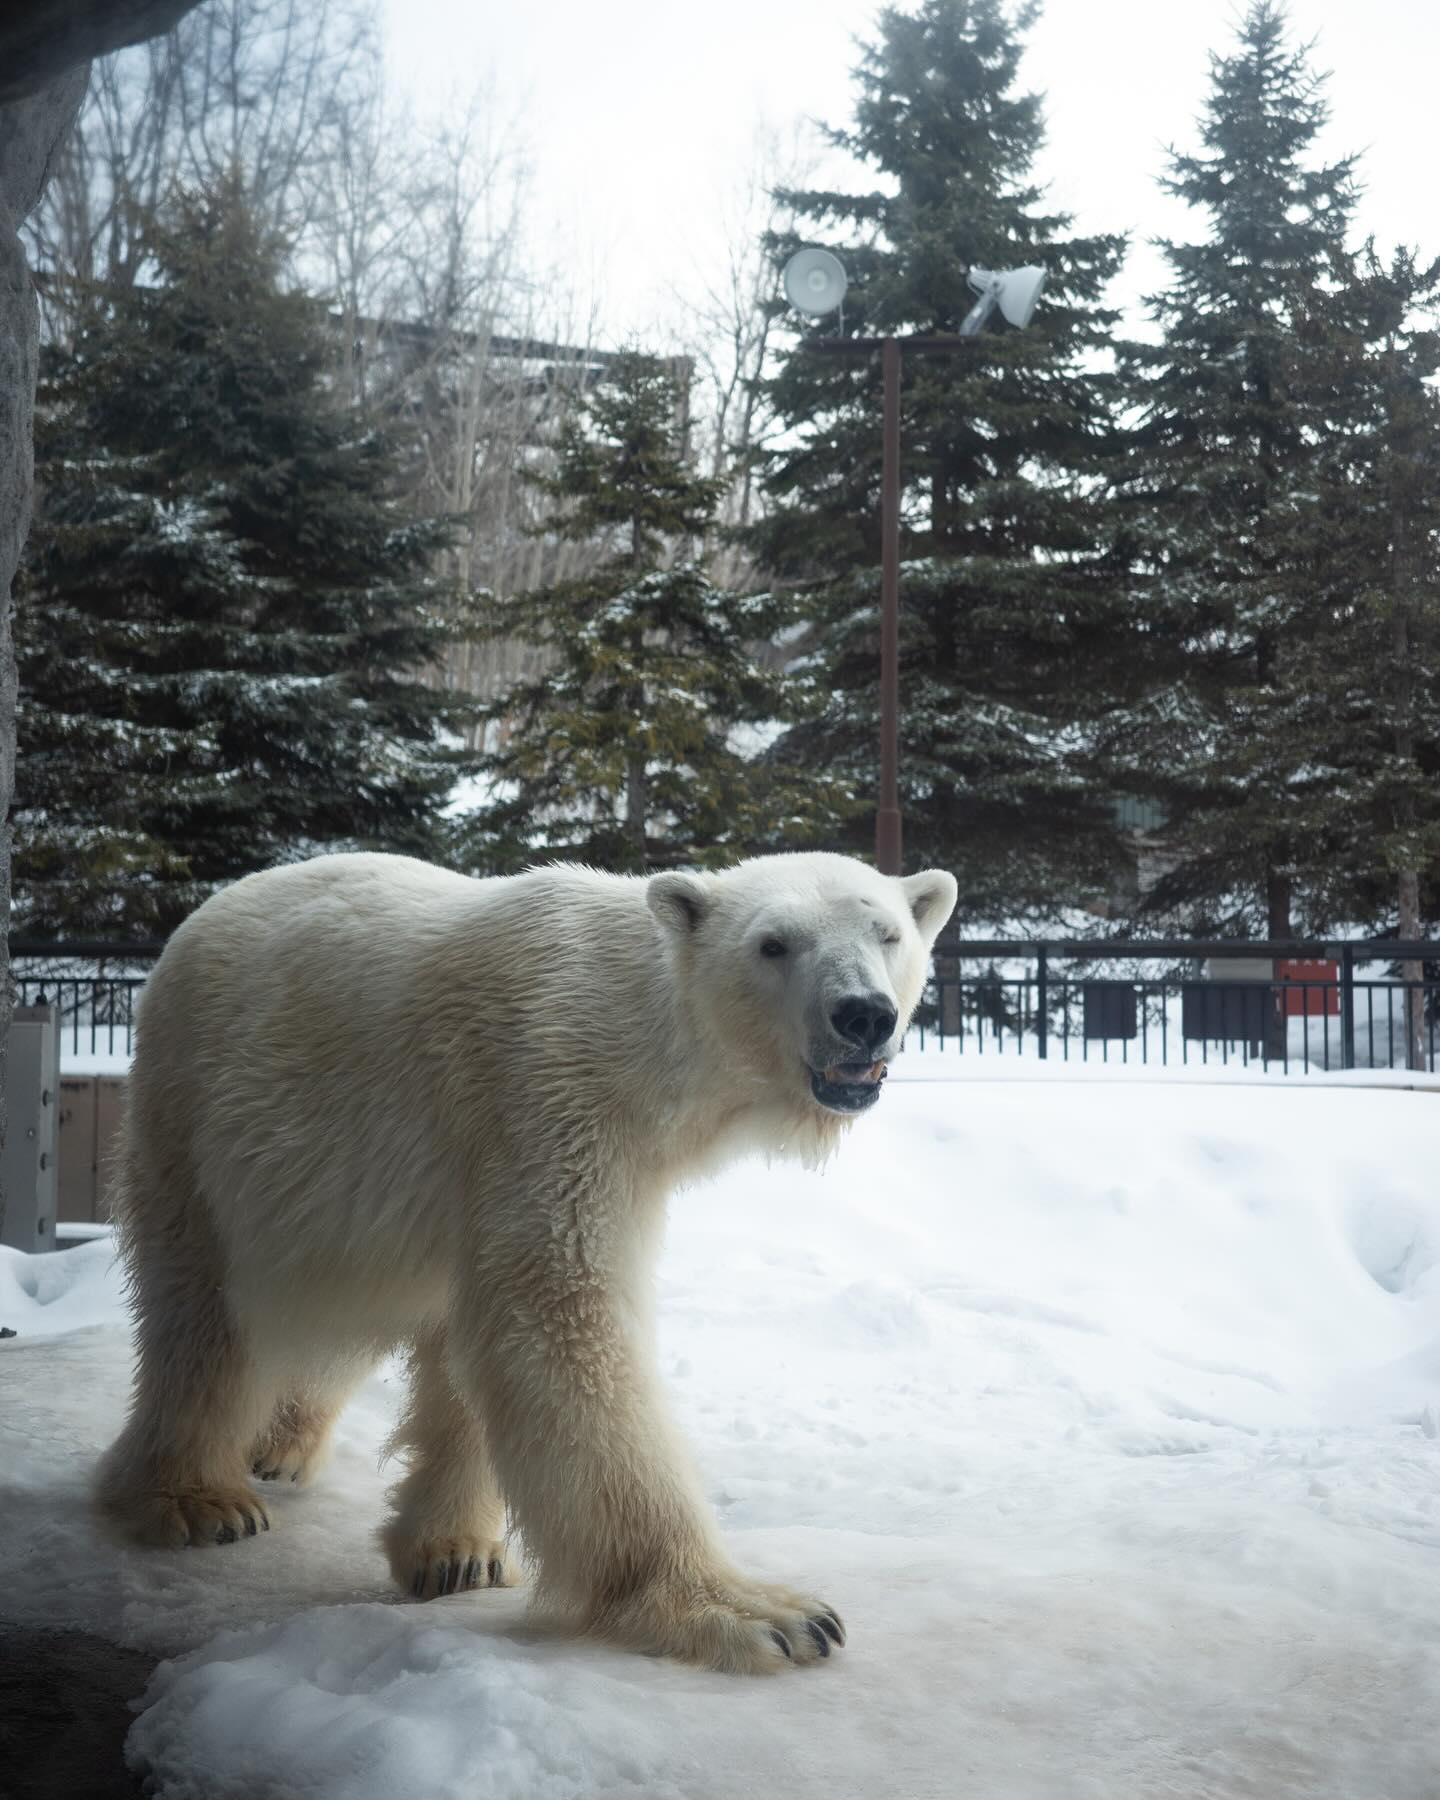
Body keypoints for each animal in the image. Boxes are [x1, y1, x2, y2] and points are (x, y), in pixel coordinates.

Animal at [98, 849, 957, 1663]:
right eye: (773, 944)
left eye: (887, 934)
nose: (864, 1015)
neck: (642, 1041)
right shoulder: (549, 1098)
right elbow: (559, 1313)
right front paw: (762, 1615)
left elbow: (495, 1331)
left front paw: (460, 1554)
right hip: (198, 1114)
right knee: (202, 1312)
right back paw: (198, 1499)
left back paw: (318, 1464)